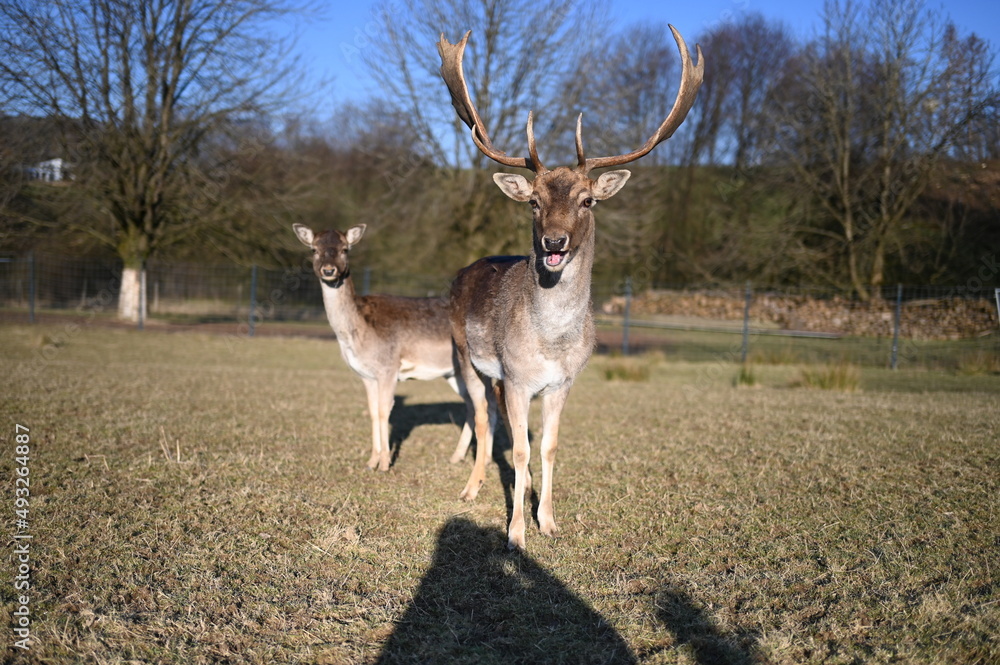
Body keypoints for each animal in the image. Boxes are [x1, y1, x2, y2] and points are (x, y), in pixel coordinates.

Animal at [293, 223, 474, 472]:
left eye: (345, 249)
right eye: (314, 249)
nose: (329, 270)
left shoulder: (389, 368)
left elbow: (384, 410)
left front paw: (385, 464)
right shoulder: (366, 375)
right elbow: (372, 411)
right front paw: (371, 461)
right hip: (454, 374)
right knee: (474, 405)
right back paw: (457, 456)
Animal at [437, 26, 704, 550]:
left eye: (588, 201)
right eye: (533, 202)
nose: (554, 242)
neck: (553, 342)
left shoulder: (564, 382)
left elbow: (550, 447)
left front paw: (548, 519)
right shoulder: (517, 378)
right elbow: (519, 451)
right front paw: (516, 533)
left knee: (491, 420)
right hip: (465, 357)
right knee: (481, 418)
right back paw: (470, 488)